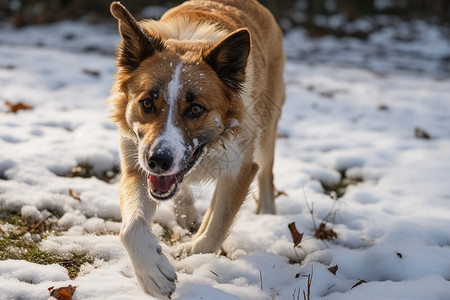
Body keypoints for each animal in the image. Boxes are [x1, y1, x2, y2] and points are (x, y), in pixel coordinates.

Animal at [108, 0, 284, 298]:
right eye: (147, 103)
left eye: (195, 110)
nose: (158, 161)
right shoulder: (137, 163)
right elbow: (132, 227)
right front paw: (152, 274)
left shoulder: (239, 169)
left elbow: (217, 226)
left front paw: (194, 254)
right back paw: (187, 212)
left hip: (268, 123)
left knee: (267, 171)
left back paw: (267, 213)